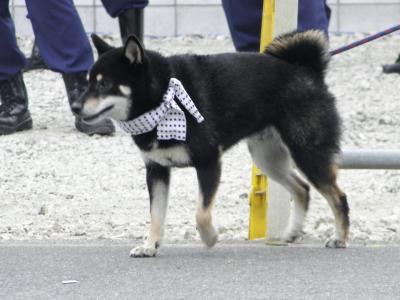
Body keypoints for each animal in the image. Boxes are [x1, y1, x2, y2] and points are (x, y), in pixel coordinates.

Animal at [72, 29, 350, 255]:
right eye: (88, 82)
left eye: (105, 84)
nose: (75, 106)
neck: (162, 98)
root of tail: (307, 69)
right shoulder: (157, 170)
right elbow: (156, 215)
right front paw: (150, 245)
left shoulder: (208, 161)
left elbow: (201, 213)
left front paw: (209, 237)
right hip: (268, 159)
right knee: (302, 189)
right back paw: (292, 232)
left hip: (307, 152)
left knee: (338, 196)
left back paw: (340, 238)